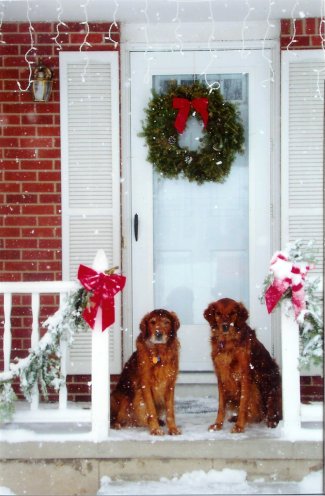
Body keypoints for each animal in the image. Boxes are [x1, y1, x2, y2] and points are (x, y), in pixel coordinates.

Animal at [109, 308, 180, 436]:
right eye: (152, 322)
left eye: (166, 322)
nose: (158, 333)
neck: (158, 353)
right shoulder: (145, 385)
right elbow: (151, 409)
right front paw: (155, 429)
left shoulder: (170, 384)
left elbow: (170, 410)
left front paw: (173, 429)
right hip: (125, 396)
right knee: (113, 419)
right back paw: (117, 424)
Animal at [204, 296, 280, 432]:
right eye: (218, 313)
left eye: (233, 313)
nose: (225, 326)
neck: (227, 343)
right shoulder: (221, 377)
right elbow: (221, 405)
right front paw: (218, 424)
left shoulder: (245, 375)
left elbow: (243, 403)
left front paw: (239, 426)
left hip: (268, 387)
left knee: (271, 410)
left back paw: (271, 421)